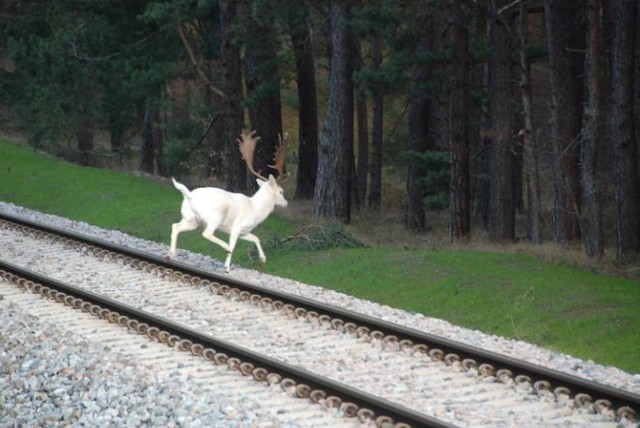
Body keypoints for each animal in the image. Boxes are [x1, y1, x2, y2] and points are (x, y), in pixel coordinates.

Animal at [168, 129, 288, 272]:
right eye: (281, 191)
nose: (286, 203)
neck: (255, 210)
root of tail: (189, 196)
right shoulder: (237, 226)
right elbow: (235, 245)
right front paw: (226, 267)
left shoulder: (244, 232)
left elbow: (256, 238)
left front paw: (262, 259)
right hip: (215, 216)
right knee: (206, 233)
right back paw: (225, 247)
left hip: (191, 219)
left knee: (175, 226)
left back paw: (170, 255)